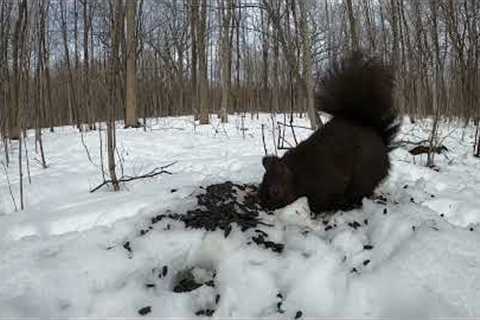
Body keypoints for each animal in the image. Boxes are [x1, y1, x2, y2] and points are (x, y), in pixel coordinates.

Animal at [260, 51, 400, 214]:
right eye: (260, 185)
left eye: (275, 192)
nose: (264, 206)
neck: (297, 174)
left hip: (364, 173)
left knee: (360, 192)